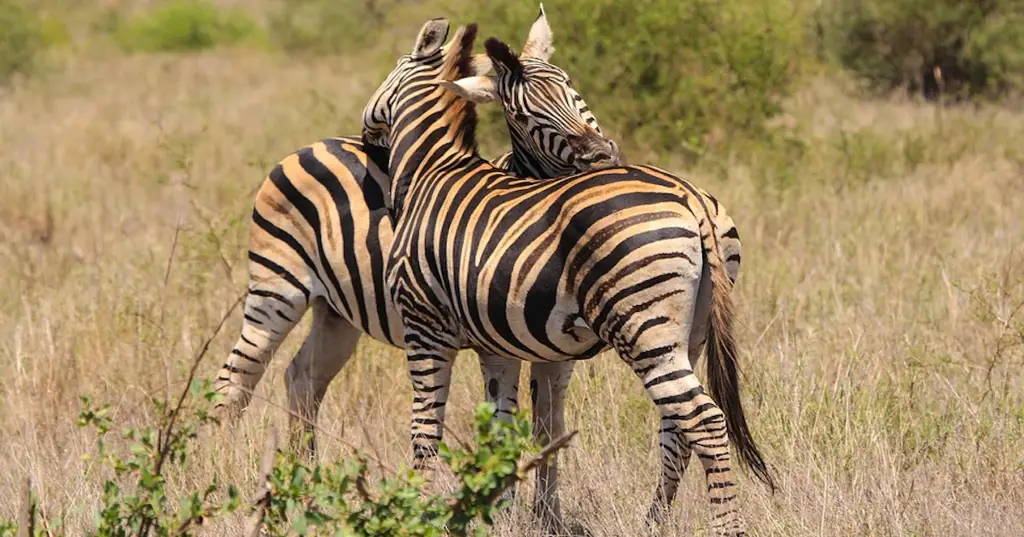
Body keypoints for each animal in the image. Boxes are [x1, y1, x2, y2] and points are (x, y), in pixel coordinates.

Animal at [211, 4, 618, 524]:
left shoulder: (556, 355)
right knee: (238, 377)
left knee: (303, 377)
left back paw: (304, 480)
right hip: (276, 284)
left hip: (337, 311)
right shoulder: (495, 343)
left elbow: (549, 429)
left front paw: (548, 519)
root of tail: (314, 143)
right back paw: (224, 469)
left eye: (573, 90)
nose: (601, 155)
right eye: (524, 113)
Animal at [364, 18, 770, 532]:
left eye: (572, 89)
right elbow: (508, 429)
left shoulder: (425, 329)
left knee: (704, 421)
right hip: (690, 331)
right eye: (524, 113)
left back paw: (727, 527)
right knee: (677, 428)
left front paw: (416, 513)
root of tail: (691, 197)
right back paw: (652, 522)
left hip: (642, 326)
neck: (431, 172)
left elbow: (425, 430)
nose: (365, 133)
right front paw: (502, 518)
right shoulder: (501, 347)